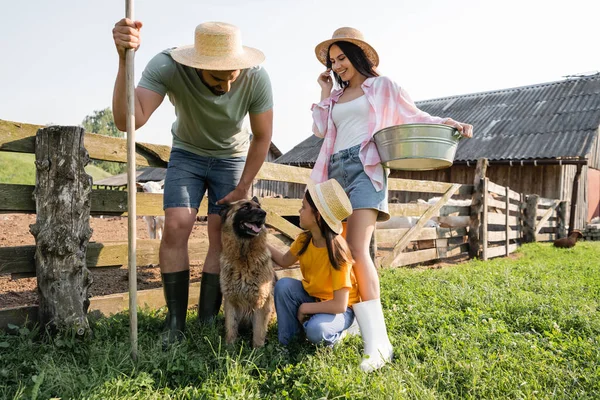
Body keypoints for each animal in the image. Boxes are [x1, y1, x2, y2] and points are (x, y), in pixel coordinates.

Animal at [220, 197, 276, 346]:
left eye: (259, 207)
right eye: (245, 207)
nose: (263, 213)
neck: (243, 256)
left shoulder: (261, 303)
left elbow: (258, 333)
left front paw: (257, 350)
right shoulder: (230, 302)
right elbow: (231, 328)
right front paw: (229, 348)